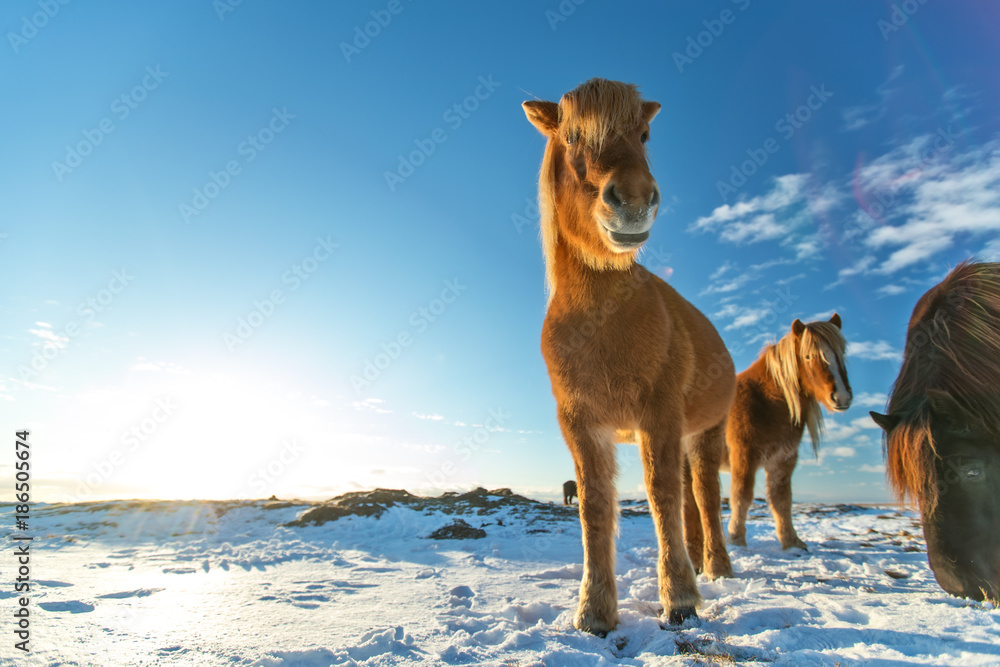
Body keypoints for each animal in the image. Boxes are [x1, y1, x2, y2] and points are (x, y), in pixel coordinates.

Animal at [524, 81, 736, 636]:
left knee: (704, 494)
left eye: (644, 135)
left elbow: (662, 497)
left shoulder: (658, 414)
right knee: (690, 498)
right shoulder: (581, 424)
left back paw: (717, 567)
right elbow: (596, 506)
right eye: (572, 135)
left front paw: (679, 599)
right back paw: (700, 561)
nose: (635, 199)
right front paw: (594, 613)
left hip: (704, 432)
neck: (601, 329)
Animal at [724, 316, 856, 552]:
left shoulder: (783, 460)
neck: (764, 400)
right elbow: (742, 496)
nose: (841, 397)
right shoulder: (743, 456)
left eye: (841, 353)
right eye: (808, 356)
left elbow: (782, 500)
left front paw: (792, 542)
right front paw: (736, 540)